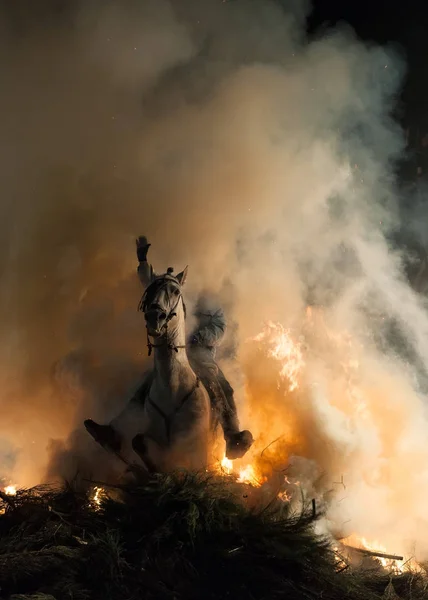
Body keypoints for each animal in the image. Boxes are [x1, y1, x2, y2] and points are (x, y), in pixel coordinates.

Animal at [84, 262, 211, 474]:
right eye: (149, 290)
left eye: (176, 291)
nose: (155, 316)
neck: (173, 387)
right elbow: (138, 442)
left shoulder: (193, 444)